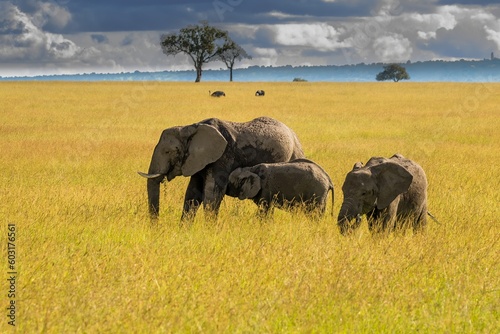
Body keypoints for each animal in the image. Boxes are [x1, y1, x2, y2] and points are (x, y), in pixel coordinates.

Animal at [137, 116, 304, 220]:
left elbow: (212, 194)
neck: (191, 127)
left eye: (168, 151)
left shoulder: (223, 157)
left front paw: (210, 233)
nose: (156, 228)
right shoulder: (197, 161)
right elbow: (192, 194)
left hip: (295, 153)